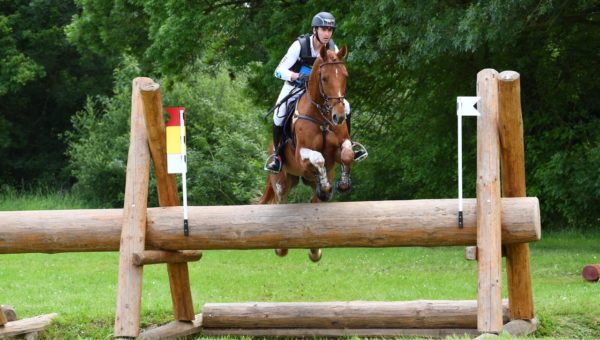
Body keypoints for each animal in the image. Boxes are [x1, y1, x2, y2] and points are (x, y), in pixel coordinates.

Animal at [258, 44, 354, 262]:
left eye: (345, 75)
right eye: (324, 78)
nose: (339, 116)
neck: (322, 114)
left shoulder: (340, 148)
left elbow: (347, 155)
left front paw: (343, 184)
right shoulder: (302, 155)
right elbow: (318, 159)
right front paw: (326, 185)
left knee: (314, 201)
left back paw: (315, 249)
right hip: (282, 180)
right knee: (281, 202)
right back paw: (281, 248)